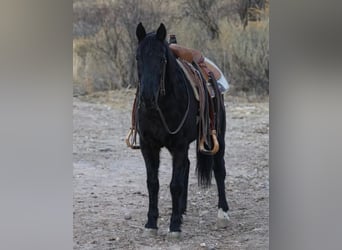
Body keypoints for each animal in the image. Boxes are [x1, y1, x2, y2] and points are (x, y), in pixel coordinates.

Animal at [135, 22, 228, 236]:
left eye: (161, 59)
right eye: (137, 57)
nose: (147, 97)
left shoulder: (179, 145)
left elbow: (175, 184)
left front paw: (174, 225)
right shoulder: (148, 146)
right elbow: (153, 183)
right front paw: (151, 223)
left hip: (218, 136)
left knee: (219, 170)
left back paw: (223, 213)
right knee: (186, 167)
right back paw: (182, 209)